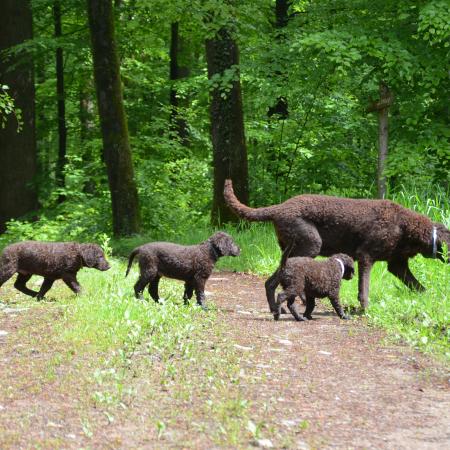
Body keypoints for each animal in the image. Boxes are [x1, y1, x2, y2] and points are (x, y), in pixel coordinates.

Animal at [225, 178, 450, 312]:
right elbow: (364, 290)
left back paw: (277, 308)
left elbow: (419, 287)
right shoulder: (366, 256)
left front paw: (433, 302)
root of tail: (280, 208)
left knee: (271, 282)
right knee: (274, 281)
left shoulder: (397, 264)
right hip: (309, 245)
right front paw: (365, 310)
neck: (405, 226)